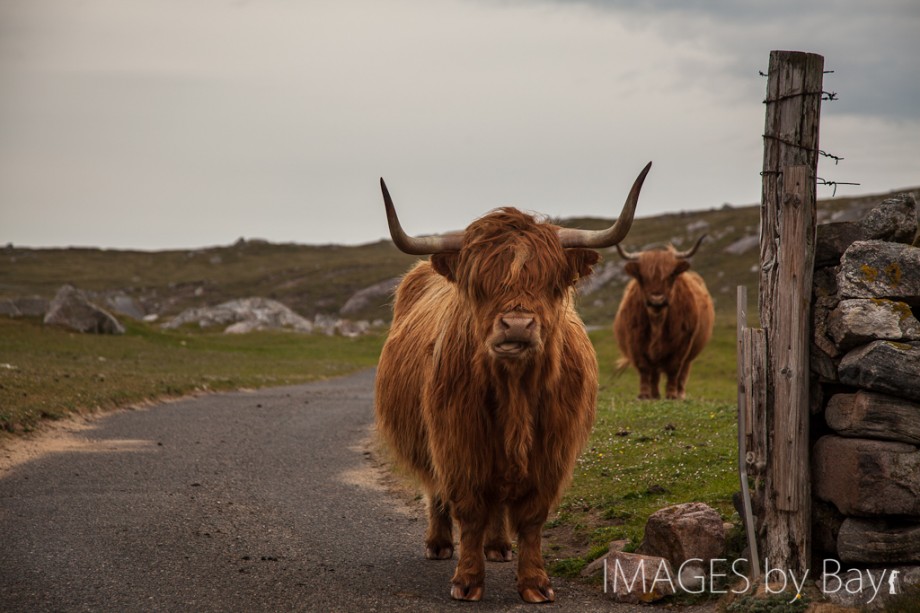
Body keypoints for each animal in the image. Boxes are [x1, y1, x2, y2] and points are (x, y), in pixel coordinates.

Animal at [370, 163, 652, 604]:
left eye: (551, 282)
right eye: (479, 284)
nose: (517, 325)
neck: (515, 391)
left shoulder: (550, 453)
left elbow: (532, 518)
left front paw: (535, 582)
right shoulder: (458, 443)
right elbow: (469, 511)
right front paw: (467, 581)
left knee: (499, 505)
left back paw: (500, 545)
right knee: (436, 489)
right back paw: (439, 543)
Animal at [616, 237, 716, 400]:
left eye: (671, 275)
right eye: (643, 277)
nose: (657, 299)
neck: (657, 321)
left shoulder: (683, 344)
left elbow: (674, 369)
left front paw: (671, 394)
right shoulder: (635, 341)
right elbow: (644, 368)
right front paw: (644, 394)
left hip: (690, 355)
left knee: (683, 373)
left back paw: (680, 394)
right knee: (655, 373)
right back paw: (655, 394)